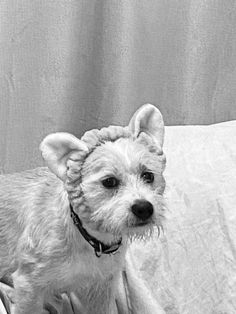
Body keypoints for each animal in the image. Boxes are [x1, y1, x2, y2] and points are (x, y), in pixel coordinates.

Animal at [0, 103, 166, 314]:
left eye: (148, 176)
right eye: (109, 181)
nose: (144, 208)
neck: (91, 238)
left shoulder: (101, 288)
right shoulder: (28, 286)